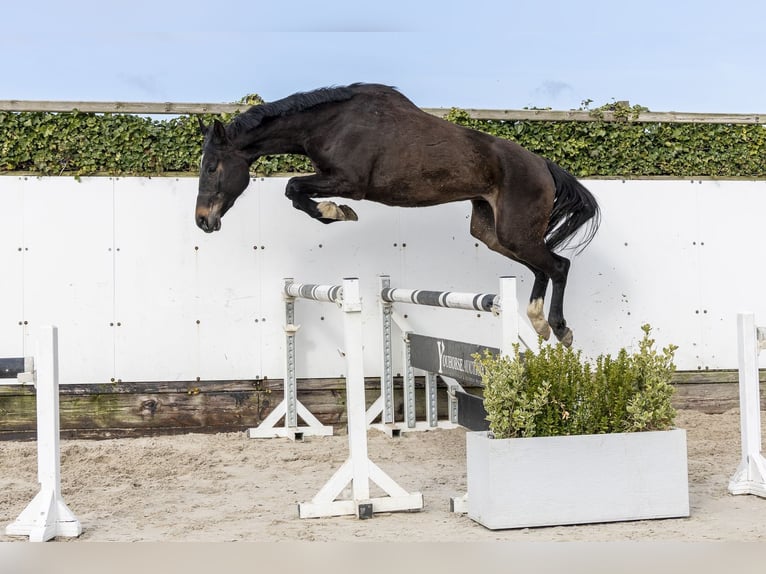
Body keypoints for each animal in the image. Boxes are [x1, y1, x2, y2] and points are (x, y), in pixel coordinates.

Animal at [196, 83, 600, 346]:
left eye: (213, 167)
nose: (202, 220)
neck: (330, 124)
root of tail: (543, 165)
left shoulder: (349, 181)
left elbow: (294, 187)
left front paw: (336, 212)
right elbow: (295, 191)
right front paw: (335, 212)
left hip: (515, 231)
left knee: (558, 265)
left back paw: (560, 329)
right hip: (494, 234)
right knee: (542, 267)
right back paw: (539, 323)